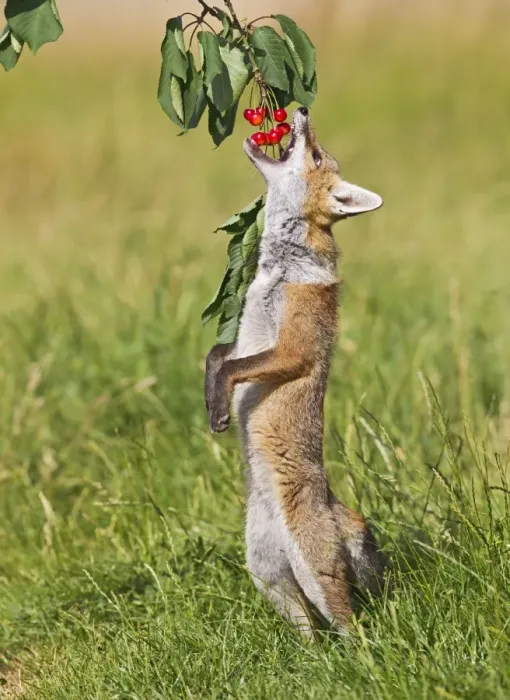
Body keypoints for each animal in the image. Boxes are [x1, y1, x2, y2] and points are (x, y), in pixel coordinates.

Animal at [205, 106, 387, 636]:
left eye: (317, 154)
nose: (301, 109)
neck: (279, 271)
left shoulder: (294, 350)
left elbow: (233, 370)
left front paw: (220, 412)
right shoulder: (244, 336)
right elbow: (217, 358)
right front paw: (209, 402)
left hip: (314, 573)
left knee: (351, 627)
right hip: (269, 575)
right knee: (311, 634)